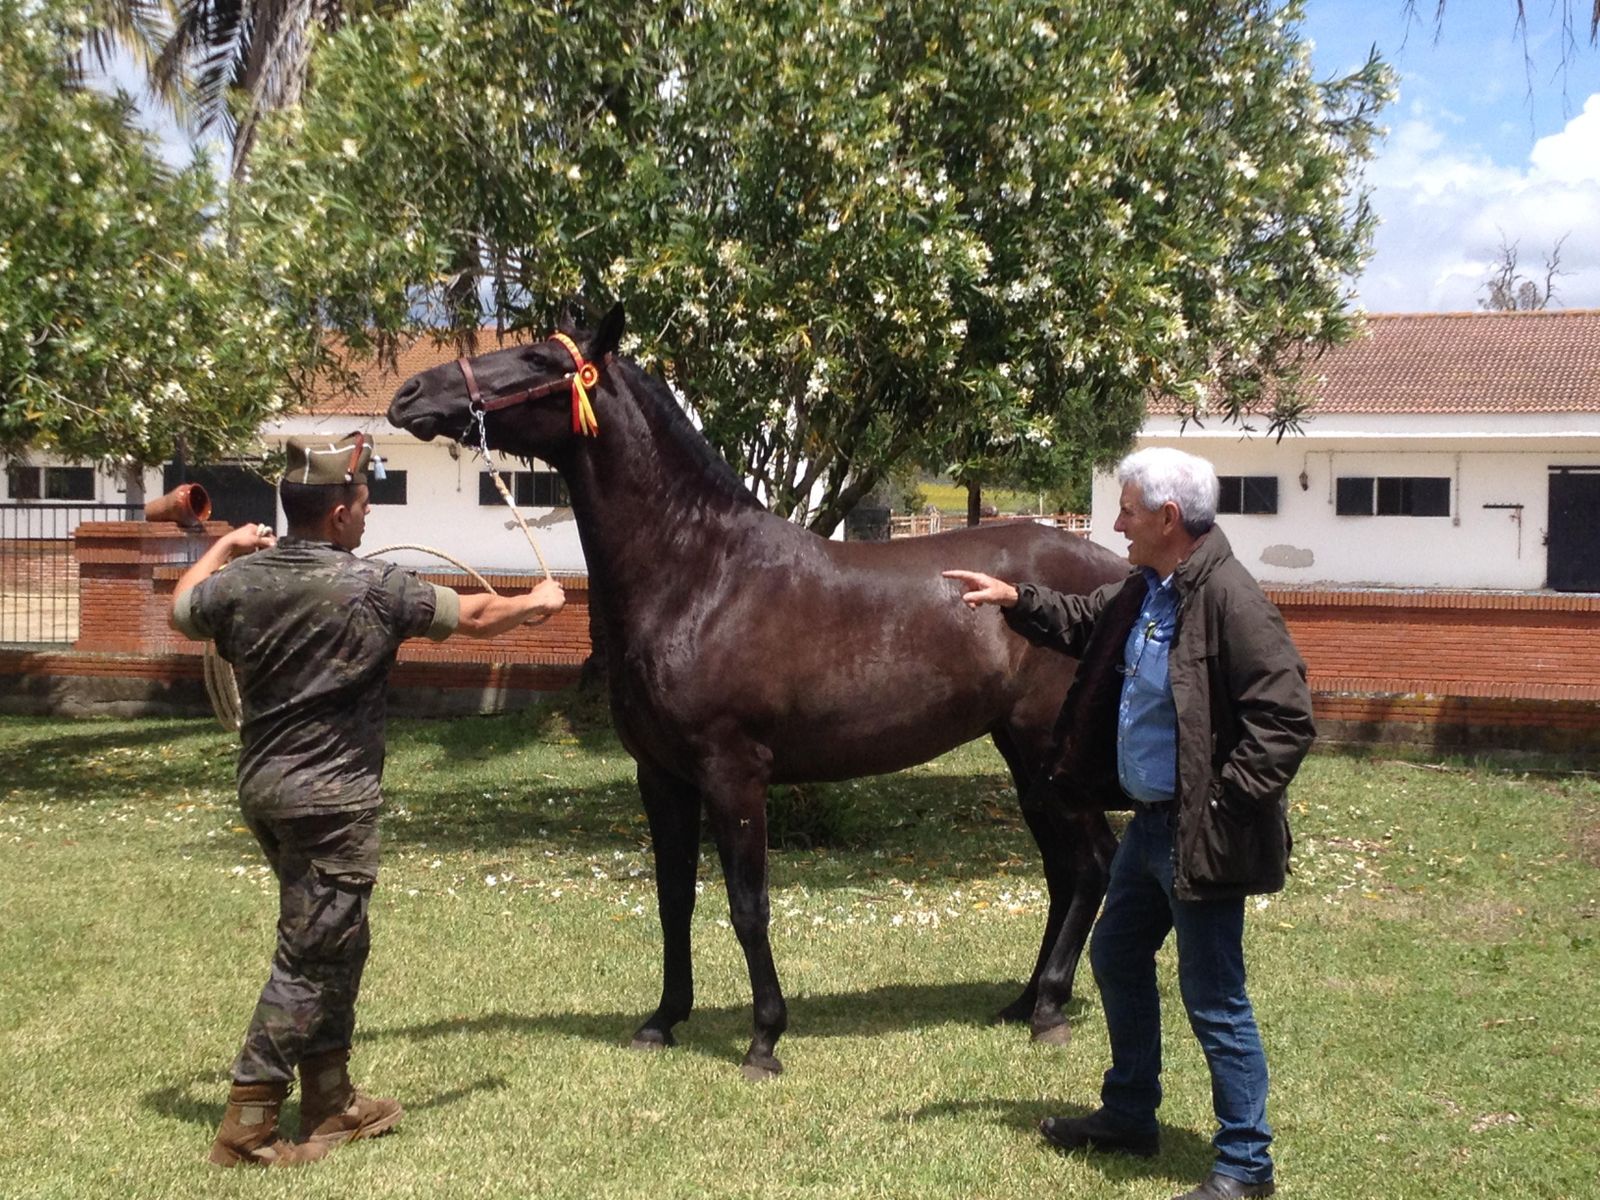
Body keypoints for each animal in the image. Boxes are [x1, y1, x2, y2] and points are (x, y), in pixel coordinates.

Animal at [388, 303, 1127, 1079]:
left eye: (539, 360)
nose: (411, 396)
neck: (702, 574)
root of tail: (1116, 580)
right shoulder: (661, 777)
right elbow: (673, 900)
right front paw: (663, 1020)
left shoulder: (732, 772)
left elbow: (748, 906)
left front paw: (765, 1039)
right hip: (1024, 756)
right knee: (1063, 871)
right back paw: (1022, 1003)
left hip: (1048, 753)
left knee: (1092, 864)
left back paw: (1048, 1009)